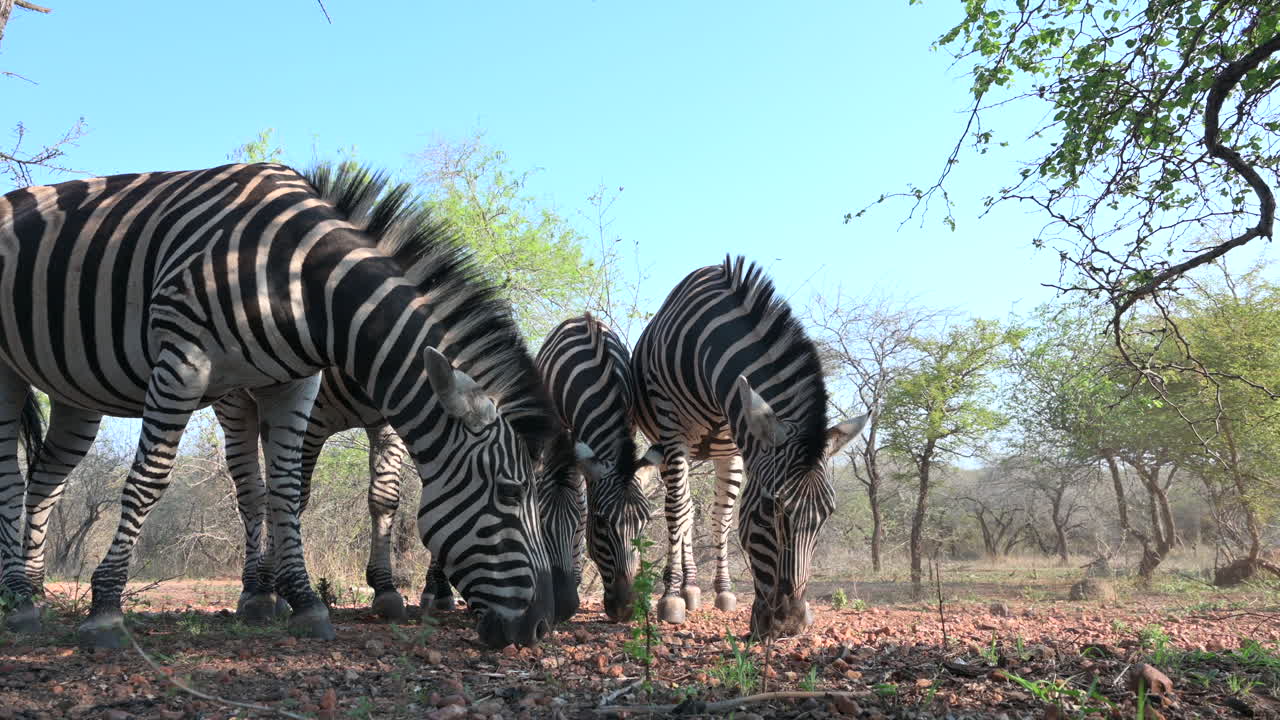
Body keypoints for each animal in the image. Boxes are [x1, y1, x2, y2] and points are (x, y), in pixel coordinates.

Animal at [0, 161, 559, 648]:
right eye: (510, 493)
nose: (539, 626)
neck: (303, 286)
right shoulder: (185, 363)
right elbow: (151, 483)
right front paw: (106, 608)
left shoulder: (301, 388)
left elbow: (296, 494)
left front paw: (310, 601)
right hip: (17, 373)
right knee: (15, 479)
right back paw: (19, 598)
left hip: (73, 389)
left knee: (46, 480)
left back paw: (32, 593)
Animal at [631, 256, 866, 638]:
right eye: (770, 510)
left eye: (827, 513)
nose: (791, 623)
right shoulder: (672, 430)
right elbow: (677, 513)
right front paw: (670, 598)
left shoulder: (735, 446)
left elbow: (723, 520)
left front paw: (724, 593)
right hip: (667, 444)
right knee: (680, 509)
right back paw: (681, 589)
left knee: (704, 514)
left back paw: (700, 588)